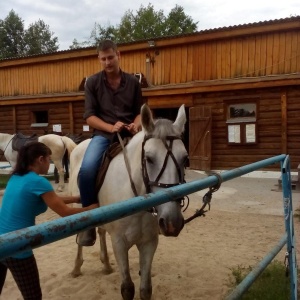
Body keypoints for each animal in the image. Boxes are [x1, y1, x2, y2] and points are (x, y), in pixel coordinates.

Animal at [69, 103, 189, 300]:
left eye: (185, 159)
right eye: (149, 159)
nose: (172, 223)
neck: (137, 201)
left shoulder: (149, 243)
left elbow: (145, 289)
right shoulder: (119, 243)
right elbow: (127, 288)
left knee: (101, 231)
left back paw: (106, 265)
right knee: (80, 238)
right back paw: (76, 268)